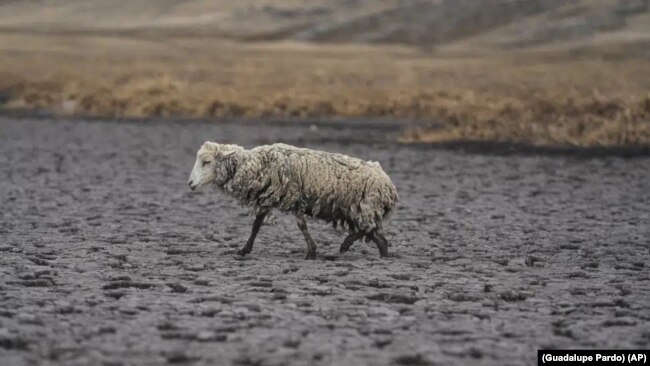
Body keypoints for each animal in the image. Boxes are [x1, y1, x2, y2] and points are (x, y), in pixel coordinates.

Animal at [187, 142, 398, 258]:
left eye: (207, 162)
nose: (190, 183)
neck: (258, 165)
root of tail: (389, 185)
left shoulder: (294, 197)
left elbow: (301, 225)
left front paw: (311, 252)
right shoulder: (268, 197)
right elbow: (256, 225)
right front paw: (244, 249)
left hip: (365, 207)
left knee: (372, 232)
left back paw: (347, 245)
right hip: (360, 210)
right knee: (376, 236)